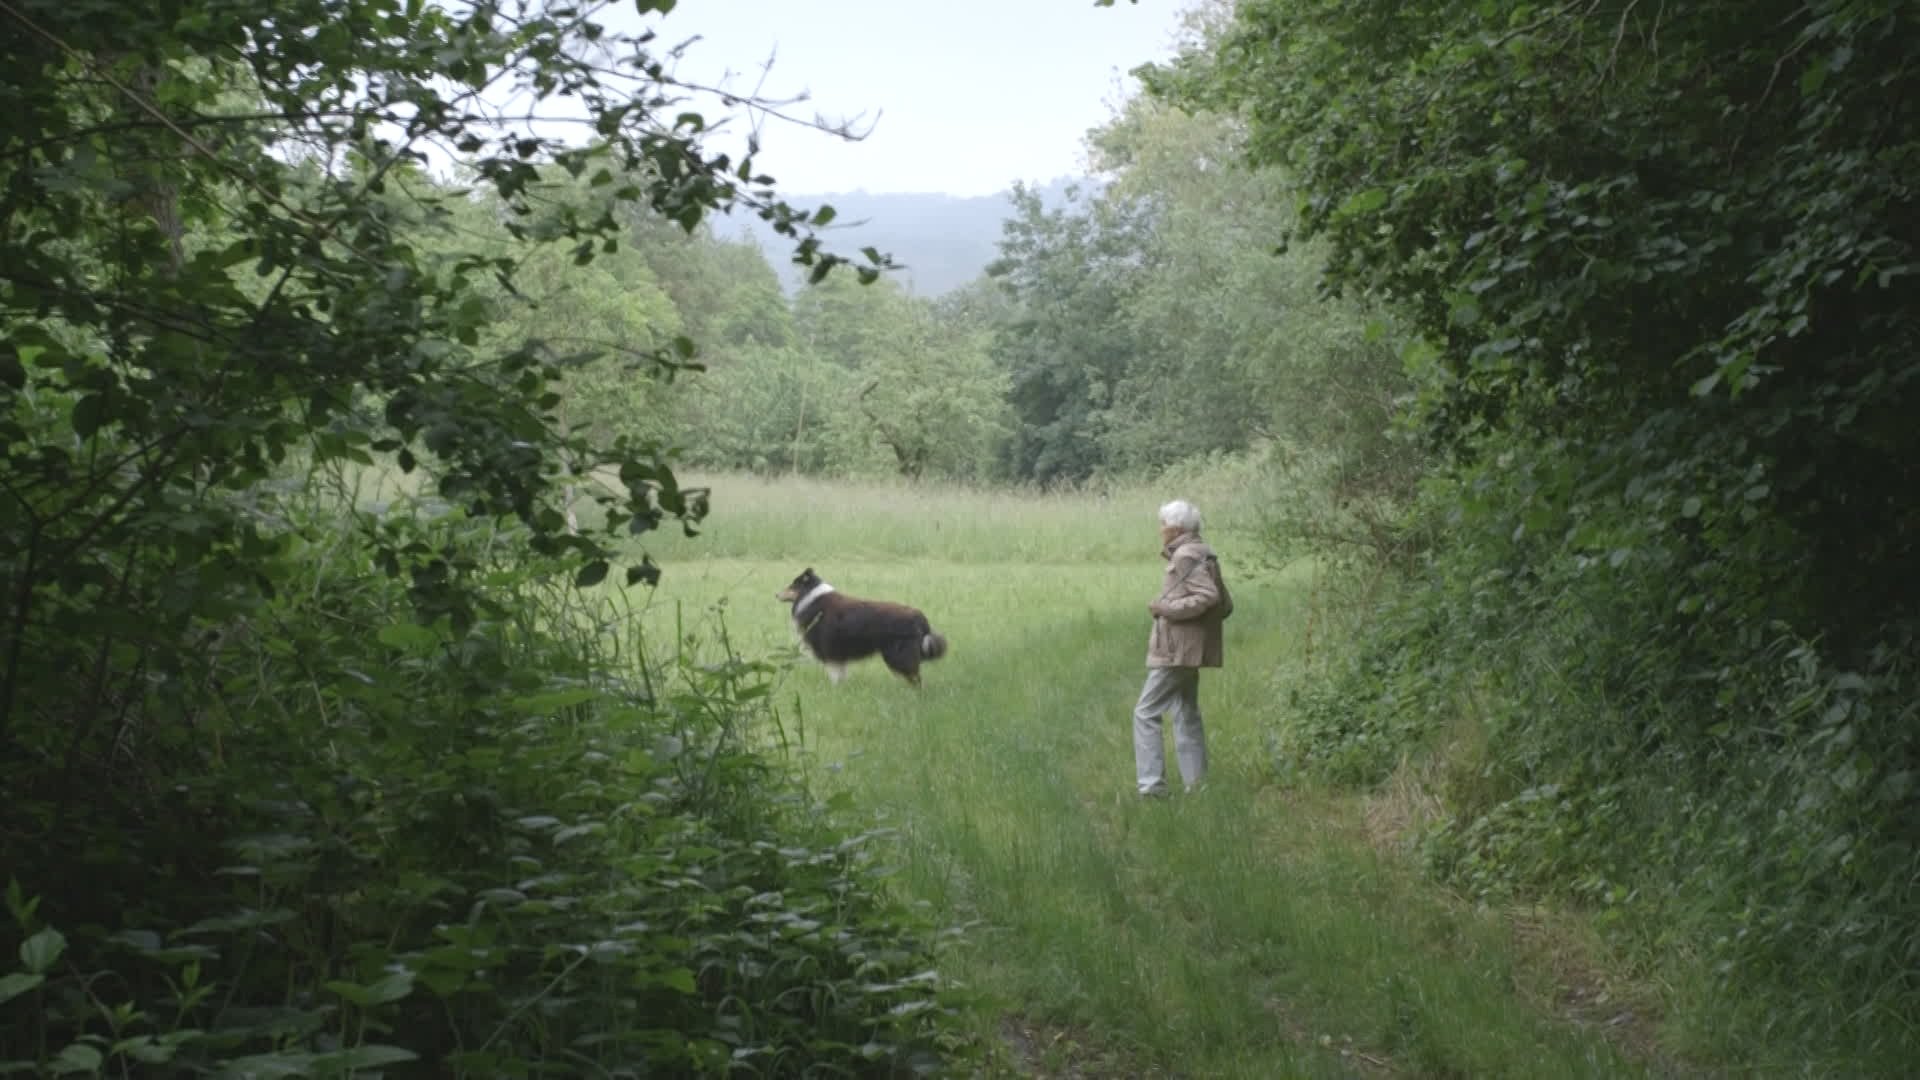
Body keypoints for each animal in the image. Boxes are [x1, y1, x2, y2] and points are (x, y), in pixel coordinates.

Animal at [775, 568, 948, 684]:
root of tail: (920, 617)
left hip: (898, 654)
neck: (811, 598)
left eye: (792, 585)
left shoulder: (830, 650)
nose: (776, 595)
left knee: (915, 678)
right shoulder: (839, 653)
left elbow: (834, 674)